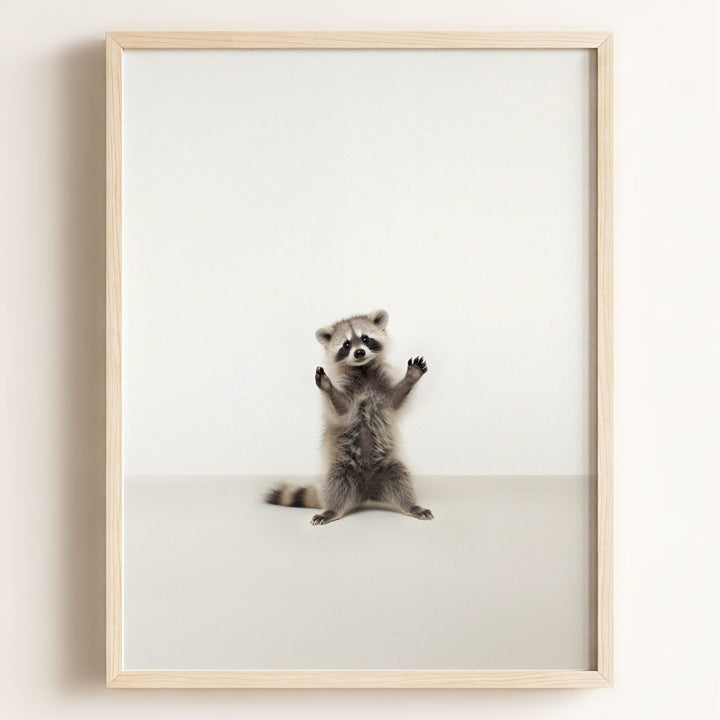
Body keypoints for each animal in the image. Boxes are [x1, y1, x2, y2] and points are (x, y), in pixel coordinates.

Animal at [265, 309, 433, 525]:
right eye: (346, 344)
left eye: (365, 338)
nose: (359, 352)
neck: (363, 370)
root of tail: (367, 493)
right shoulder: (347, 392)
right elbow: (342, 410)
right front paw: (327, 387)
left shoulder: (382, 388)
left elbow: (395, 401)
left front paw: (411, 377)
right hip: (341, 467)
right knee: (336, 484)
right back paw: (332, 510)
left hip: (389, 465)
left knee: (402, 478)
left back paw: (411, 506)